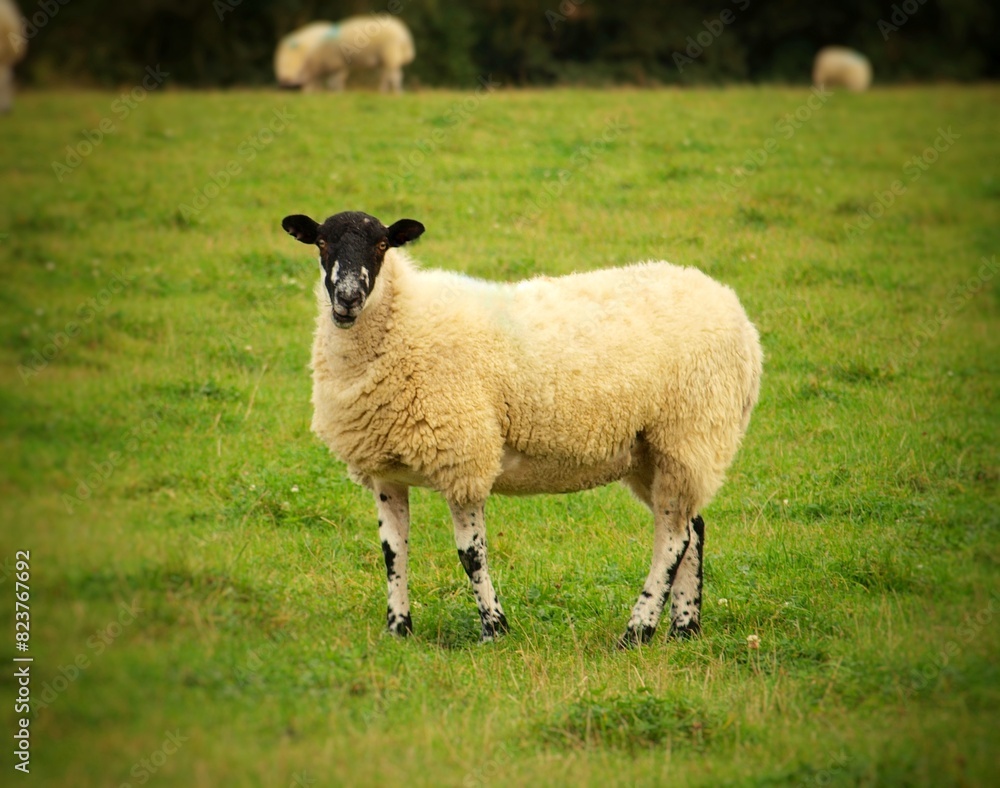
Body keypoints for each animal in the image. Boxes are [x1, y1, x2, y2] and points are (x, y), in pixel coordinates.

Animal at [274, 15, 415, 94]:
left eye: (287, 62)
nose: (284, 83)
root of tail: (405, 37)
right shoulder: (338, 65)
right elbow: (334, 80)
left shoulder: (336, 64)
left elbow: (334, 80)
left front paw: (335, 93)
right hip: (385, 60)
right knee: (386, 76)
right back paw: (383, 91)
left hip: (391, 55)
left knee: (395, 76)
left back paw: (397, 93)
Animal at [281, 210, 763, 647]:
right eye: (321, 242)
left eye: (382, 245)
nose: (347, 298)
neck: (403, 319)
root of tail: (735, 310)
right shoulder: (386, 471)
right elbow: (392, 551)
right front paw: (398, 629)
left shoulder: (466, 456)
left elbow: (471, 554)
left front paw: (494, 629)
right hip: (659, 452)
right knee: (691, 528)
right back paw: (684, 629)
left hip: (690, 431)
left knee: (673, 540)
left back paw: (637, 631)